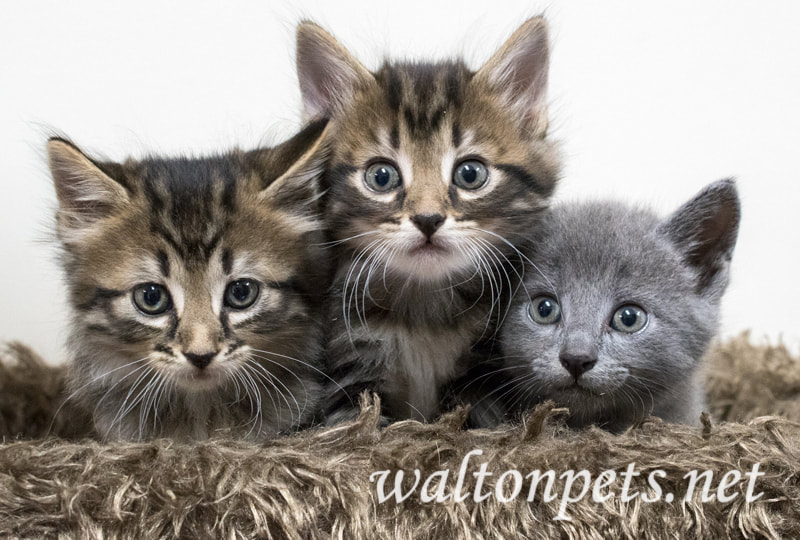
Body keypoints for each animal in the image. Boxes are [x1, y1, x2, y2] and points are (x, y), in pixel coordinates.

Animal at [296, 16, 564, 424]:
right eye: (381, 176)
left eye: (470, 174)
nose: (427, 218)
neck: (424, 310)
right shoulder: (350, 369)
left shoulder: (485, 374)